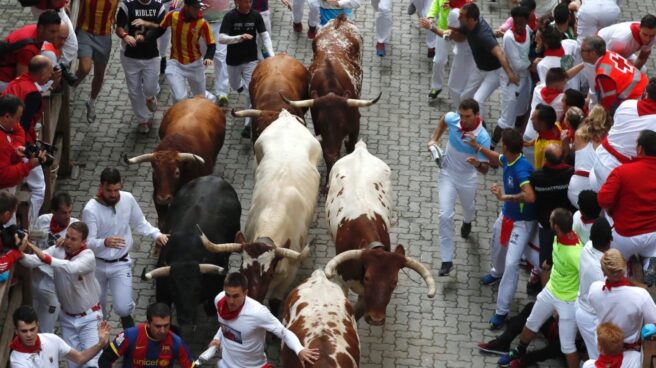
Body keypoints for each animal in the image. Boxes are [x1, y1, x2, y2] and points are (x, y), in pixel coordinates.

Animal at [201, 110, 322, 316]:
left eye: (269, 273)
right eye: (243, 269)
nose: (252, 298)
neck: (275, 210)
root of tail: (286, 116)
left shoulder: (289, 273)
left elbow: (274, 302)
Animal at [284, 15, 384, 183]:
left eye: (341, 123)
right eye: (321, 123)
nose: (331, 151)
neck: (331, 89)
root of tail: (339, 19)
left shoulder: (355, 123)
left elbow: (351, 146)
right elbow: (329, 157)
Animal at [324, 140, 436, 324]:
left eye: (394, 282)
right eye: (368, 277)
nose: (376, 319)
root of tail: (360, 150)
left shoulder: (364, 297)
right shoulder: (341, 282)